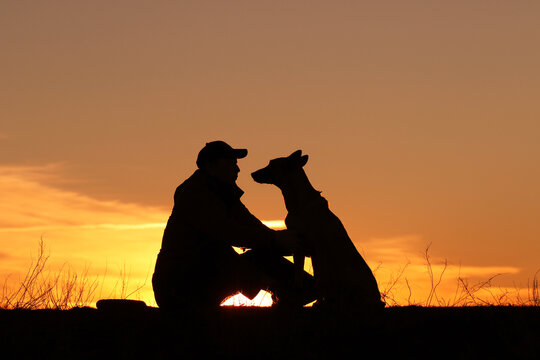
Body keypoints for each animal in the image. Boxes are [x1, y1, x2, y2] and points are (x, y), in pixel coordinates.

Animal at [252, 149, 384, 310]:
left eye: (271, 164)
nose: (252, 173)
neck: (300, 205)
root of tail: (377, 299)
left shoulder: (318, 249)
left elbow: (319, 280)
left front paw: (320, 303)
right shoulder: (299, 248)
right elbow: (299, 277)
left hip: (348, 273)